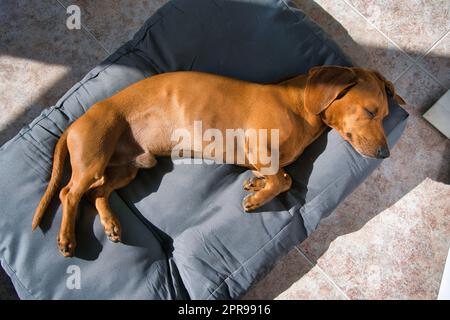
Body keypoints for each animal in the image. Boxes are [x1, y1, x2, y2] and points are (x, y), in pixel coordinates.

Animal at [31, 66, 404, 256]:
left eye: (385, 115)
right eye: (370, 111)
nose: (385, 154)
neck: (300, 106)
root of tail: (74, 124)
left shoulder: (262, 157)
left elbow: (276, 174)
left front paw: (256, 184)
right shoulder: (259, 144)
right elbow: (284, 178)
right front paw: (258, 198)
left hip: (129, 169)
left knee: (97, 193)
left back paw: (110, 224)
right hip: (94, 159)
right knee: (69, 193)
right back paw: (67, 240)